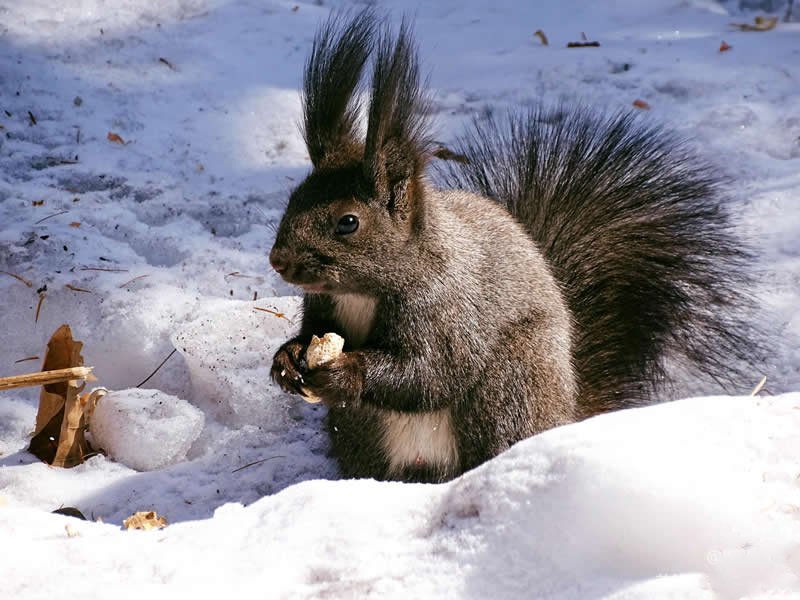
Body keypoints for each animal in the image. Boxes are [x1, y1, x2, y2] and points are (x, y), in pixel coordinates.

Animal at [268, 11, 764, 482]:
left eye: (348, 222)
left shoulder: (448, 308)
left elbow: (431, 372)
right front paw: (287, 357)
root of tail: (564, 414)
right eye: (292, 199)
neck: (365, 290)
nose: (278, 261)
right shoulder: (324, 305)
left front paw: (344, 371)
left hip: (510, 384)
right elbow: (315, 333)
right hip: (360, 429)